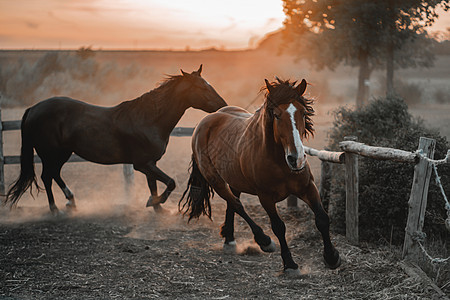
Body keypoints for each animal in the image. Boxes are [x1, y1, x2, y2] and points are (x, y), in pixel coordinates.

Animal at [4, 65, 227, 216]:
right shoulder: (141, 164)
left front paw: (157, 207)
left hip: (62, 153)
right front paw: (153, 202)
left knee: (54, 175)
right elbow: (170, 182)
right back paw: (55, 208)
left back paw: (71, 202)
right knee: (47, 177)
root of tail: (33, 108)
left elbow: (153, 185)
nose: (223, 105)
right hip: (51, 153)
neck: (147, 119)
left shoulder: (150, 163)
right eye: (202, 88)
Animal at [179, 78, 342, 276]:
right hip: (215, 180)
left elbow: (322, 218)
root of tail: (205, 122)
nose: (296, 158)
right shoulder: (266, 197)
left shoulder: (308, 187)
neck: (280, 162)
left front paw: (332, 257)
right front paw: (290, 264)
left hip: (234, 180)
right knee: (236, 204)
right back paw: (263, 240)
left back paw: (229, 239)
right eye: (277, 115)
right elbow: (279, 227)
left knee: (232, 204)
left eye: (303, 113)